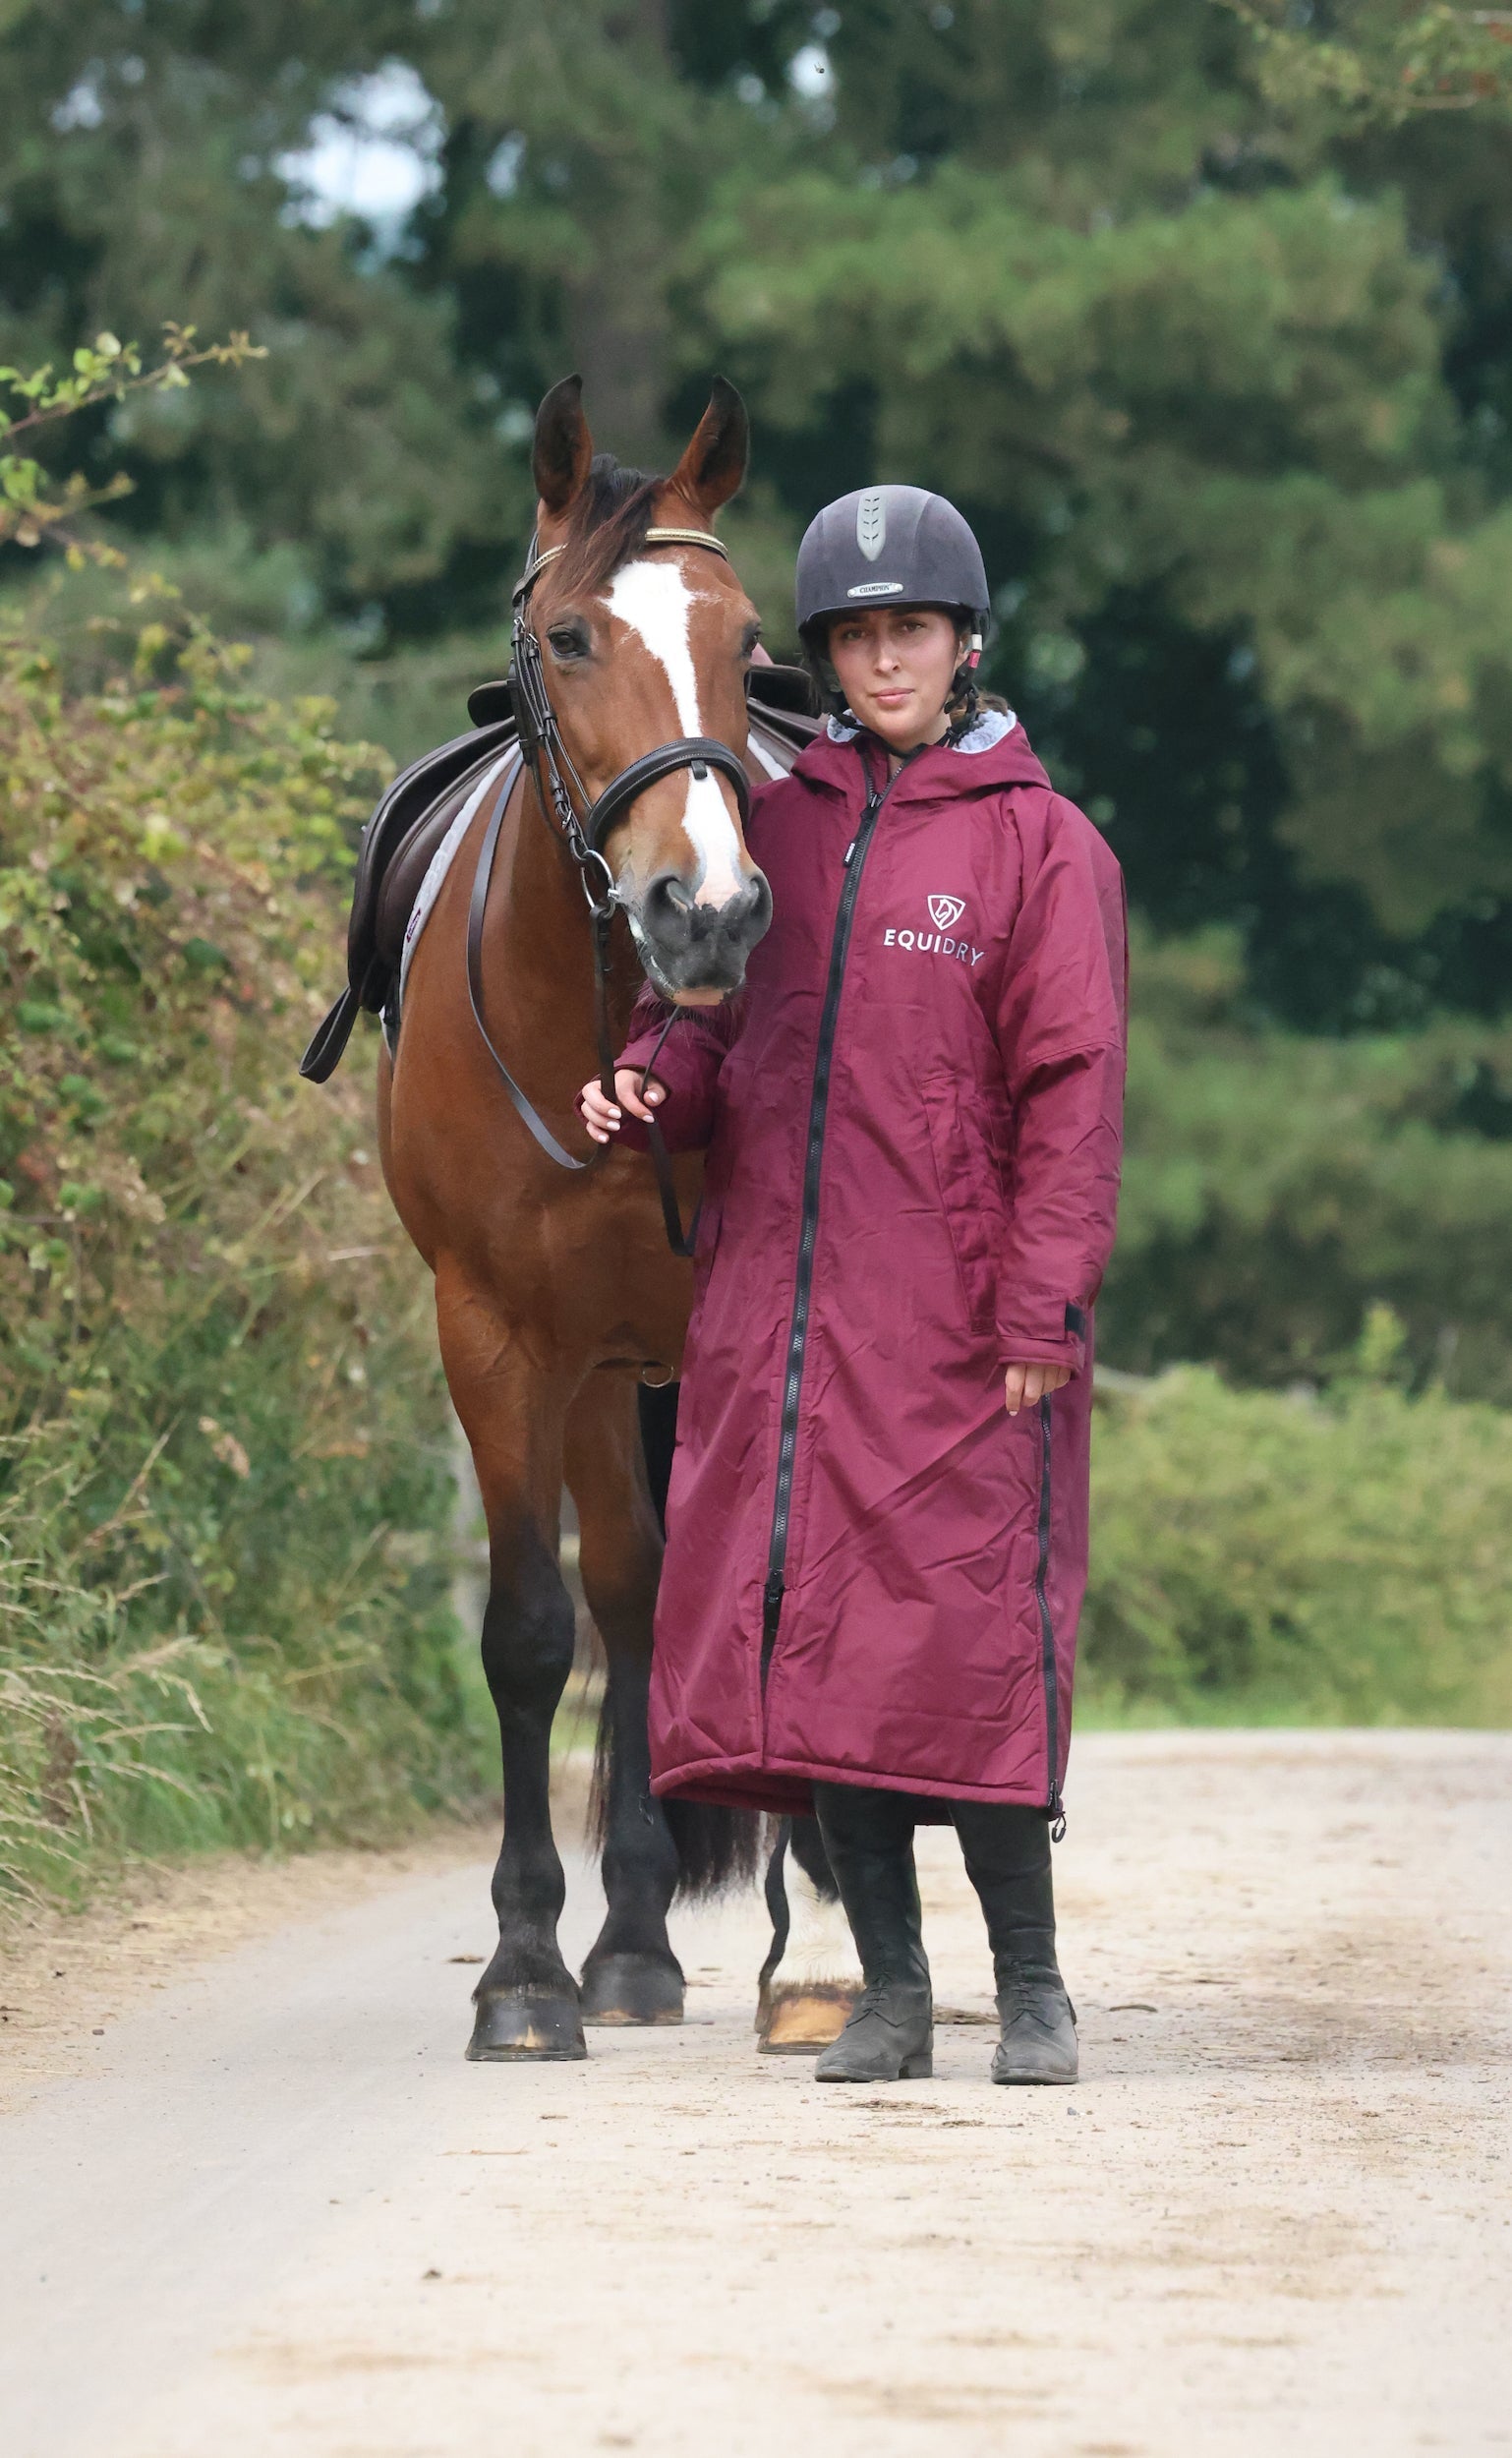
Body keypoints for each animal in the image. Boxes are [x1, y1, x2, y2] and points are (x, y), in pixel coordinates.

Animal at [361, 375, 860, 2059]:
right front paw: (526, 1969)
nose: (703, 913)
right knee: (631, 1600)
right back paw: (630, 1939)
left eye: (740, 630)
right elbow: (533, 1632)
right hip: (596, 1375)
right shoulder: (500, 1341)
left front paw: (825, 1951)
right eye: (570, 637)